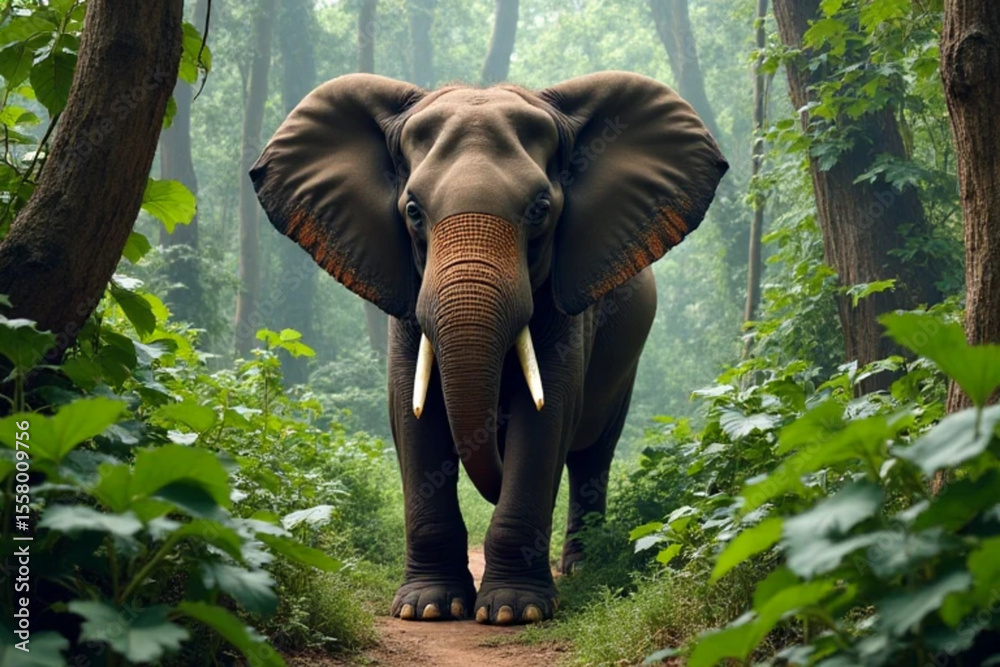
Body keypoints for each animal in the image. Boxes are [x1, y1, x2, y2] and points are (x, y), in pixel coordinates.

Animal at [251, 71, 727, 625]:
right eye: (413, 211)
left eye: (540, 210)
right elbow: (411, 412)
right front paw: (427, 608)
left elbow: (547, 414)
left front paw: (512, 612)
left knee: (593, 453)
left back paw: (582, 569)